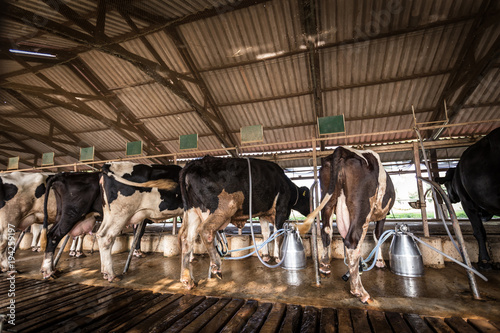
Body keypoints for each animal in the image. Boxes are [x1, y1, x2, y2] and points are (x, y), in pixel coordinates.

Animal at [176, 156, 308, 288]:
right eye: (308, 197)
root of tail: (196, 161)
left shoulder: (263, 213)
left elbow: (266, 233)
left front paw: (266, 256)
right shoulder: (282, 209)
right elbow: (277, 234)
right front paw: (277, 257)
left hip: (193, 211)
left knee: (186, 238)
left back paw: (187, 279)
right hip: (222, 208)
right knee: (205, 230)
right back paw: (216, 266)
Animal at [296, 146, 394, 304]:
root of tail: (342, 150)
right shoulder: (382, 214)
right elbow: (378, 235)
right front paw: (379, 262)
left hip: (328, 200)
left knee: (326, 232)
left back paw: (324, 266)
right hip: (361, 205)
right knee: (352, 240)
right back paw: (359, 291)